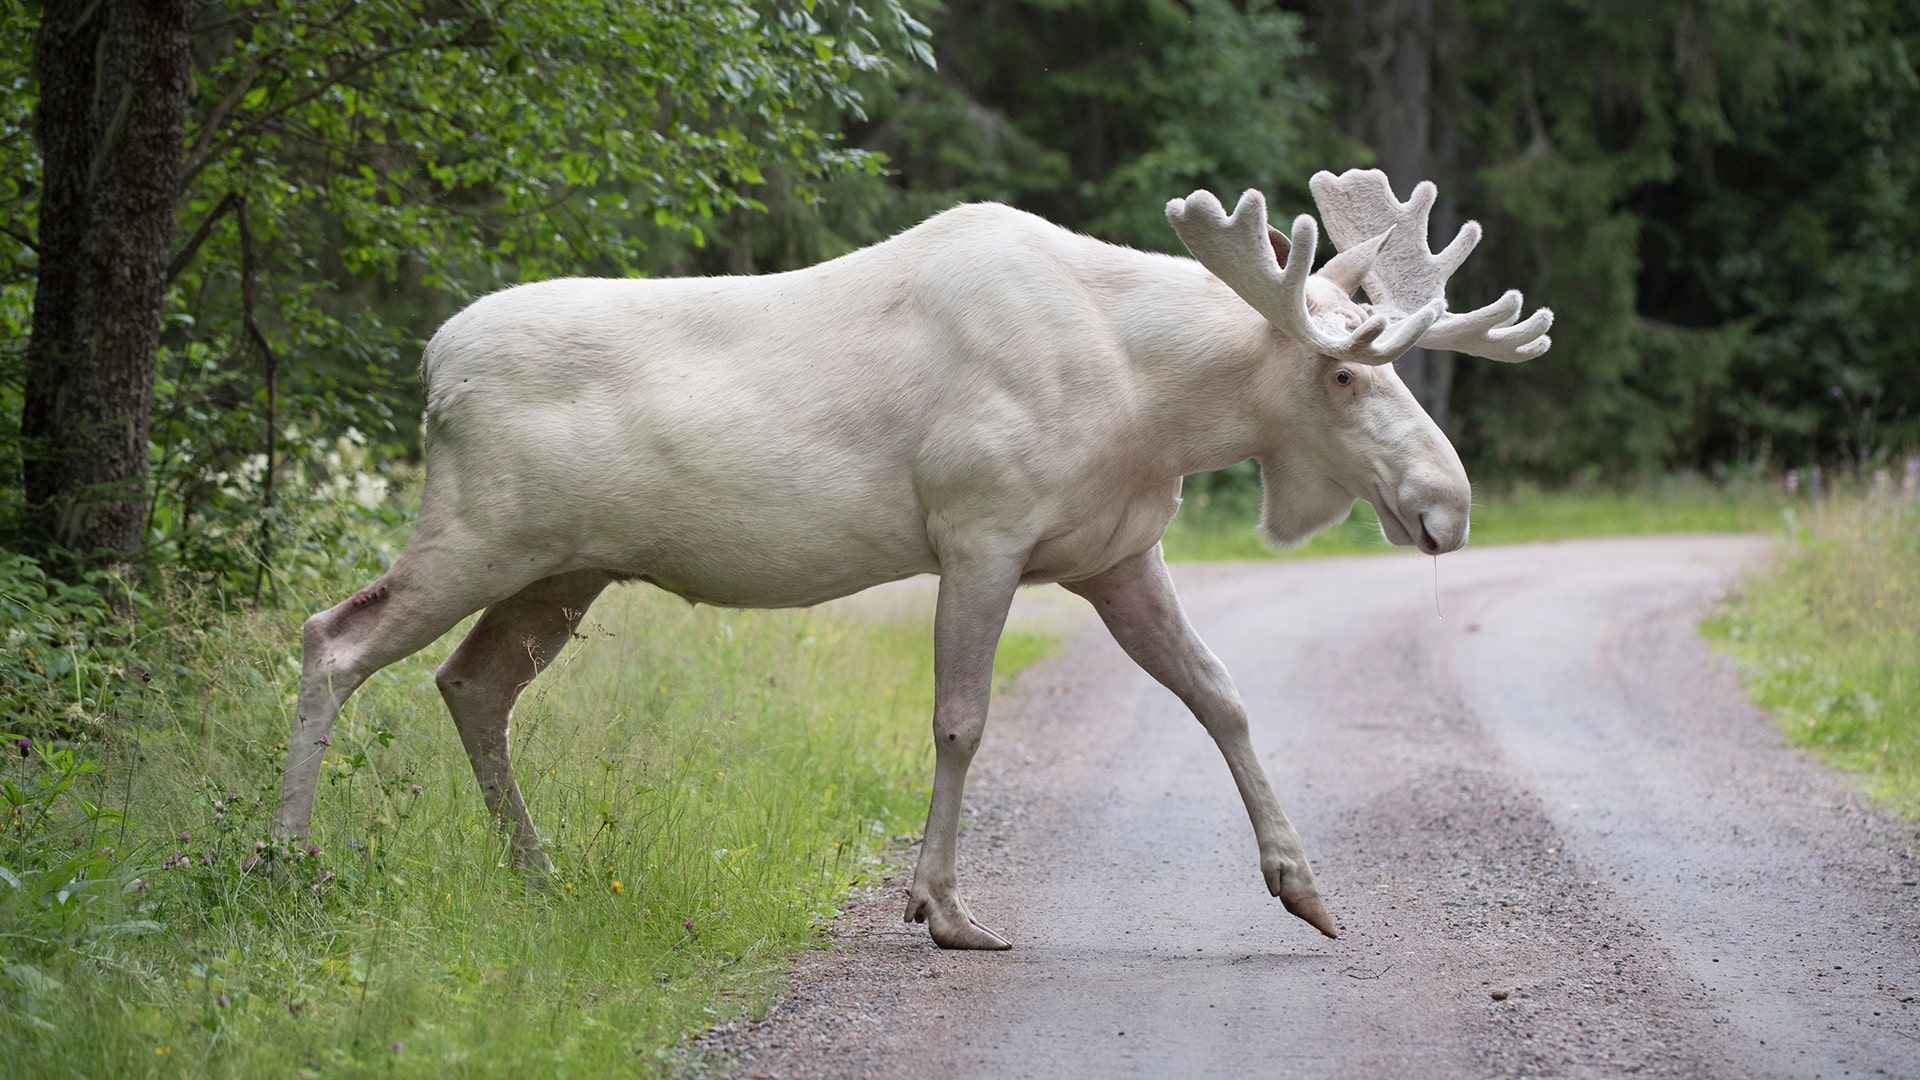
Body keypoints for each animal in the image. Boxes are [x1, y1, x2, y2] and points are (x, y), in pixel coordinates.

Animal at [273, 169, 1549, 950]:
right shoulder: (980, 528)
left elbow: (1224, 697)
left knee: (471, 683)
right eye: (1342, 373)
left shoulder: (1117, 553)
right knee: (333, 638)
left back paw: (537, 875)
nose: (1448, 506)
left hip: (562, 569)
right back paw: (287, 860)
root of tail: (432, 366)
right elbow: (961, 719)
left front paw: (1304, 887)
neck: (1152, 402)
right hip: (480, 533)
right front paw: (941, 907)